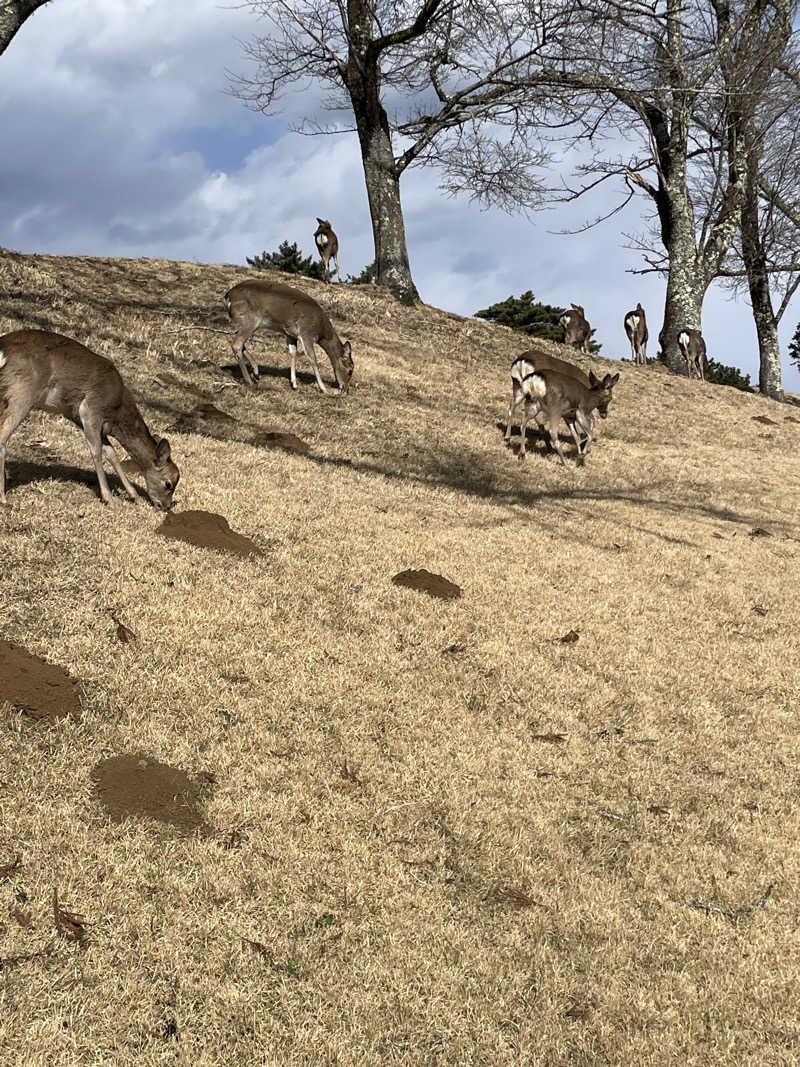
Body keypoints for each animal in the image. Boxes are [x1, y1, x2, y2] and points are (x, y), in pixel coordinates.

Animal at [0, 326, 178, 505]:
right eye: (168, 484)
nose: (166, 506)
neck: (117, 412)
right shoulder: (91, 409)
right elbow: (97, 451)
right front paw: (108, 498)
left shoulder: (82, 419)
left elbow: (111, 453)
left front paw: (134, 495)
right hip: (21, 392)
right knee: (3, 437)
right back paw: (3, 497)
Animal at [222, 281, 354, 394]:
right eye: (350, 370)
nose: (346, 389)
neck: (322, 332)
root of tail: (227, 296)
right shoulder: (306, 333)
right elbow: (312, 358)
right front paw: (323, 388)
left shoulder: (290, 334)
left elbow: (293, 353)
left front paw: (294, 384)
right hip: (250, 320)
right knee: (237, 344)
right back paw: (249, 381)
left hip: (246, 323)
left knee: (240, 343)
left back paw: (256, 372)